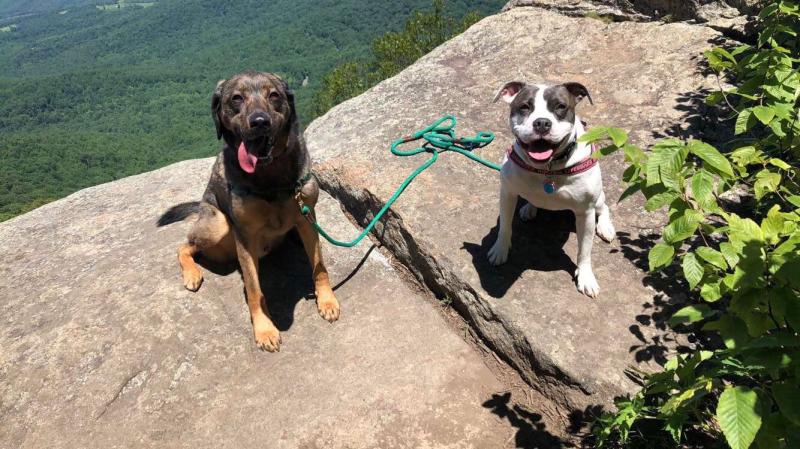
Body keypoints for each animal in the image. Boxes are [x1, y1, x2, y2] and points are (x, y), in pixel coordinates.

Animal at [159, 71, 340, 350]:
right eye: (236, 98)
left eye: (273, 95)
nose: (259, 122)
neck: (271, 175)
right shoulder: (244, 236)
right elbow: (255, 290)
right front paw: (264, 328)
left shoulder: (307, 217)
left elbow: (319, 267)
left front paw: (327, 300)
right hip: (217, 225)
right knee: (184, 246)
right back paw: (192, 273)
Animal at [488, 81, 612, 298]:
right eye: (525, 106)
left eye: (560, 107)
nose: (542, 123)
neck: (549, 168)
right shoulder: (508, 194)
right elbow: (504, 226)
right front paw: (500, 250)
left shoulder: (586, 212)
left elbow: (584, 250)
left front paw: (586, 277)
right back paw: (529, 208)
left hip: (597, 199)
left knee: (604, 207)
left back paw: (606, 227)